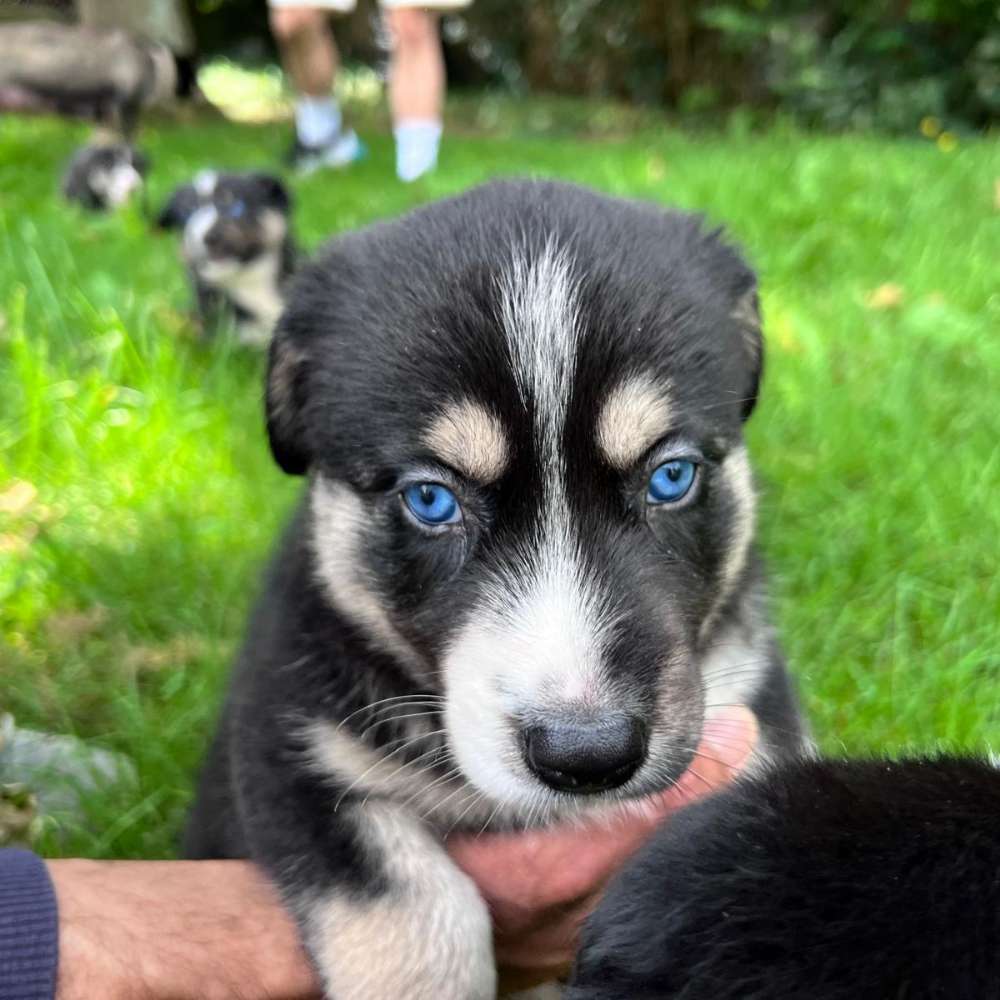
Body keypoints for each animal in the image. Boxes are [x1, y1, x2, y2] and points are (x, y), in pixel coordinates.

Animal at [188, 182, 808, 1000]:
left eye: (672, 476)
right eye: (430, 499)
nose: (588, 756)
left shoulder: (754, 703)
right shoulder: (291, 744)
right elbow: (413, 910)